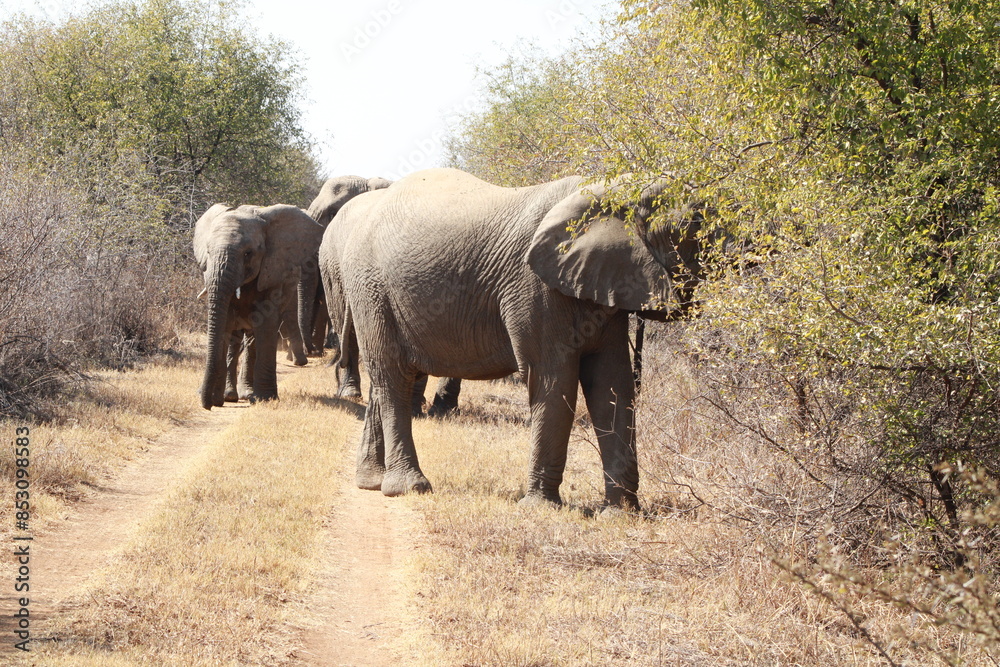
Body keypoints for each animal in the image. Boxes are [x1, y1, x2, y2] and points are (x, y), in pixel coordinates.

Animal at [194, 203, 324, 409]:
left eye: (248, 253)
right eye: (207, 252)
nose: (207, 405)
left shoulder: (273, 273)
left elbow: (266, 324)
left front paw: (265, 398)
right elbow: (225, 324)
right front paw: (217, 398)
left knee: (252, 338)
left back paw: (246, 394)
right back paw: (230, 395)